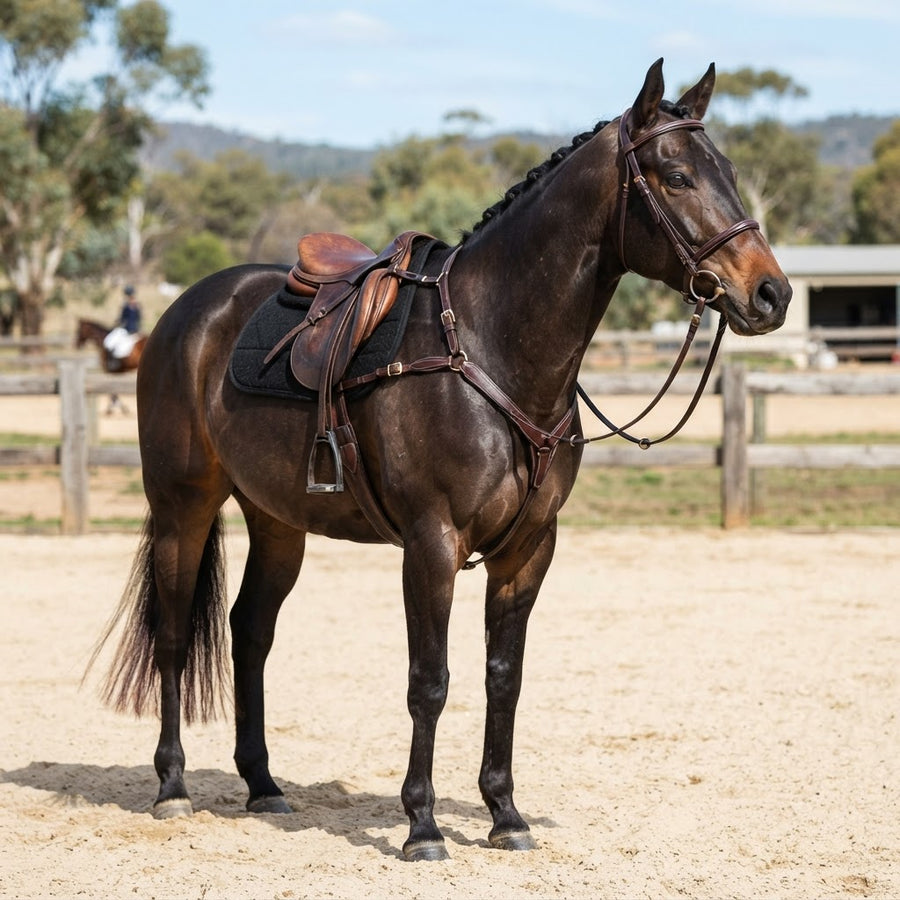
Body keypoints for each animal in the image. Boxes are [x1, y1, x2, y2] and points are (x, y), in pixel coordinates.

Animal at [90, 60, 791, 861]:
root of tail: (187, 313)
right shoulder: (431, 543)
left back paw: (264, 786)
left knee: (250, 634)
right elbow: (430, 680)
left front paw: (506, 814)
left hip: (278, 523)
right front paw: (422, 825)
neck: (491, 347)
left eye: (728, 172)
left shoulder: (529, 549)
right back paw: (172, 786)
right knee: (175, 636)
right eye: (675, 176)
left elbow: (502, 678)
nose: (771, 293)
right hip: (184, 506)